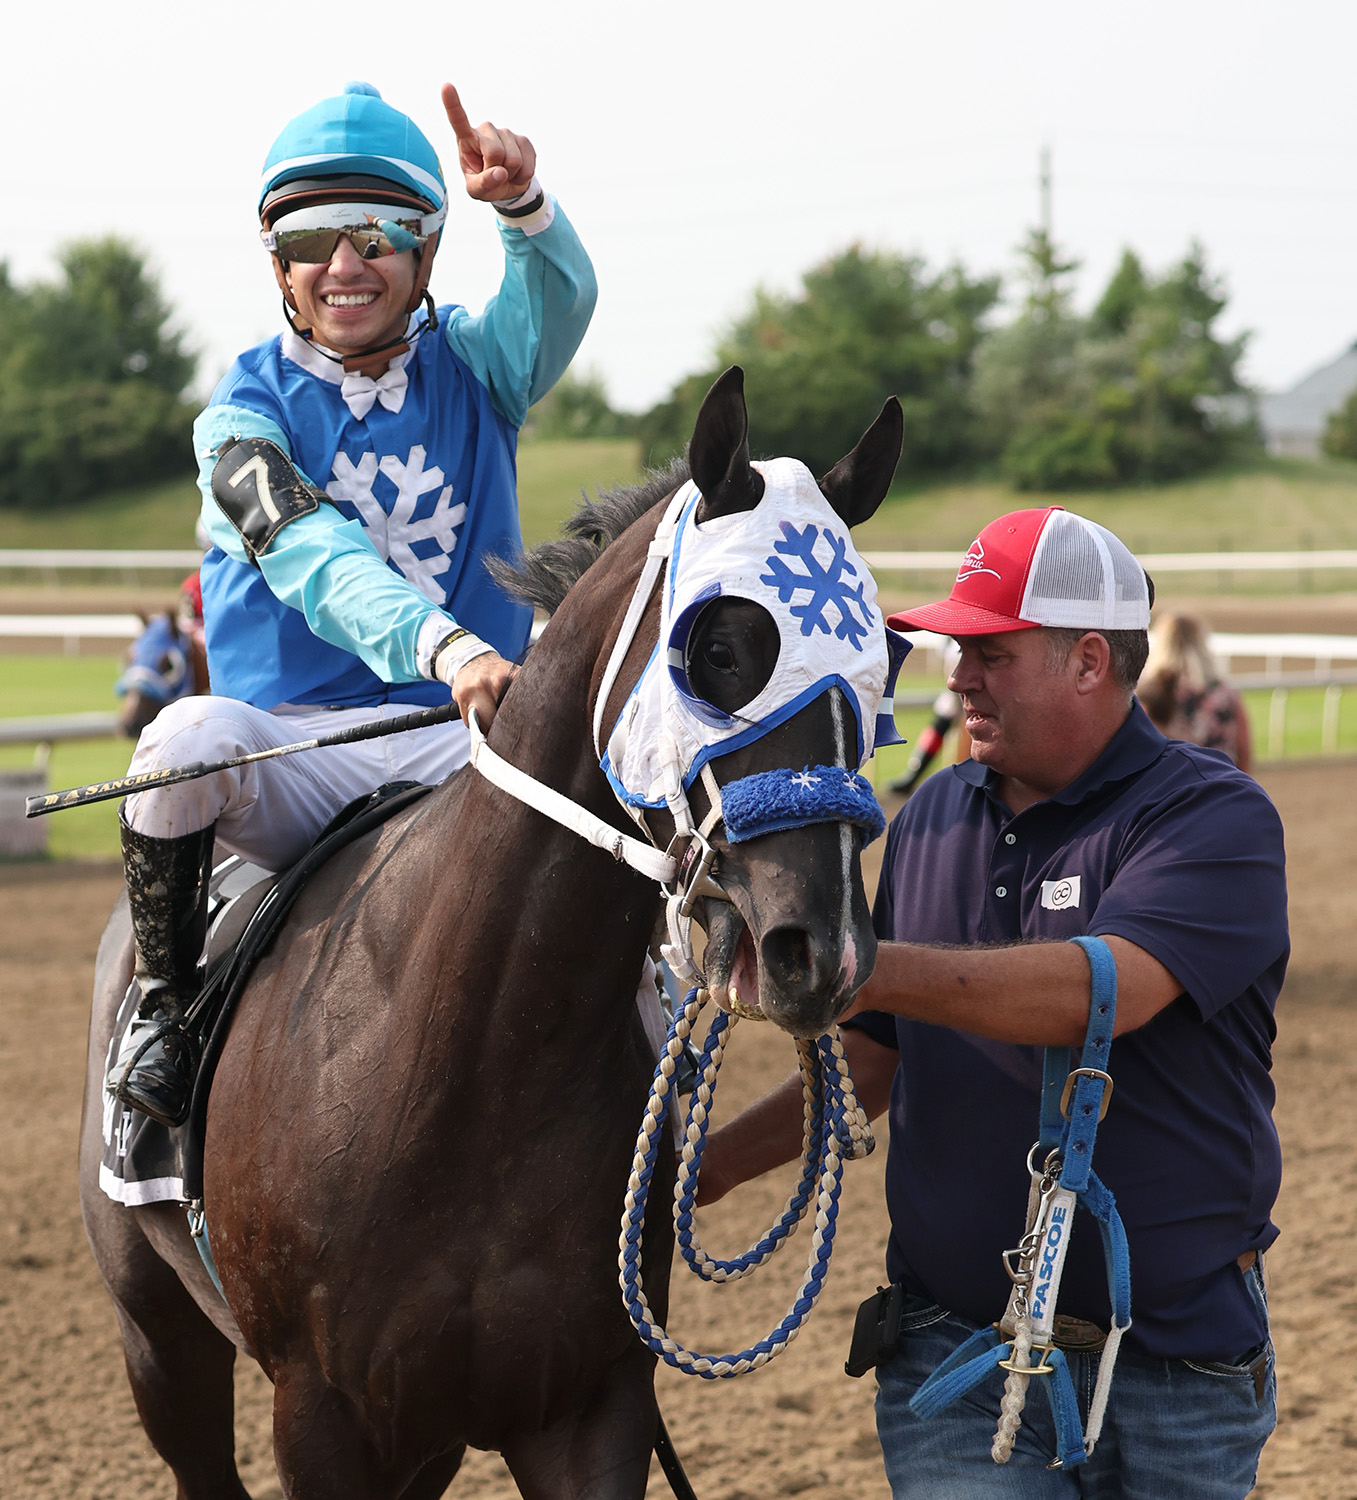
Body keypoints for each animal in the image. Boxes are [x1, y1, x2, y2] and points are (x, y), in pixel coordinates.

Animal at [74, 366, 899, 1500]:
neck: (464, 1060)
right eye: (719, 648)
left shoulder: (584, 1408)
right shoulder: (320, 1418)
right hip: (158, 1341)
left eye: (880, 669)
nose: (823, 950)